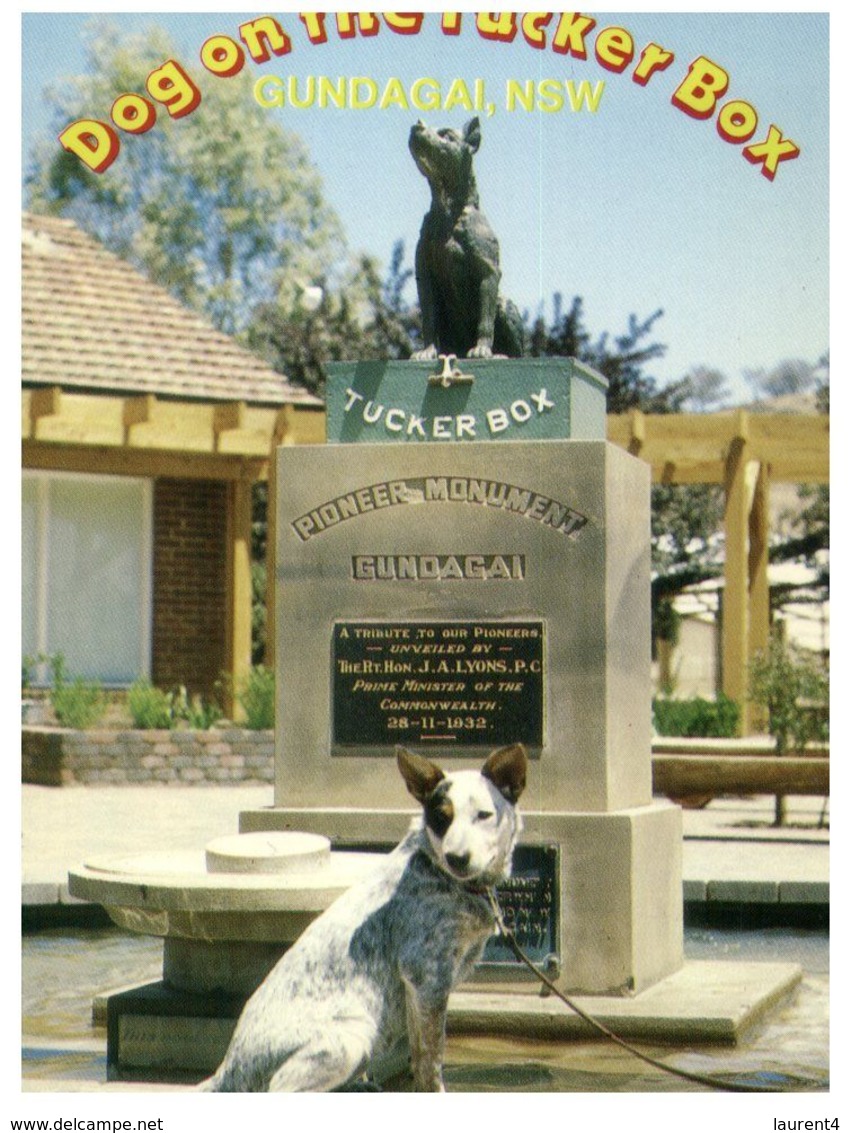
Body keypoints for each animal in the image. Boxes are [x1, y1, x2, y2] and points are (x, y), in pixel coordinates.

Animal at [202, 738, 530, 1092]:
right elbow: (431, 1061)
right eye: (441, 817)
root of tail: (226, 1072)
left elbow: (420, 1056)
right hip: (351, 1037)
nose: (457, 858)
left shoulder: (419, 992)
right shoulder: (425, 976)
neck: (440, 873)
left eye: (484, 815)